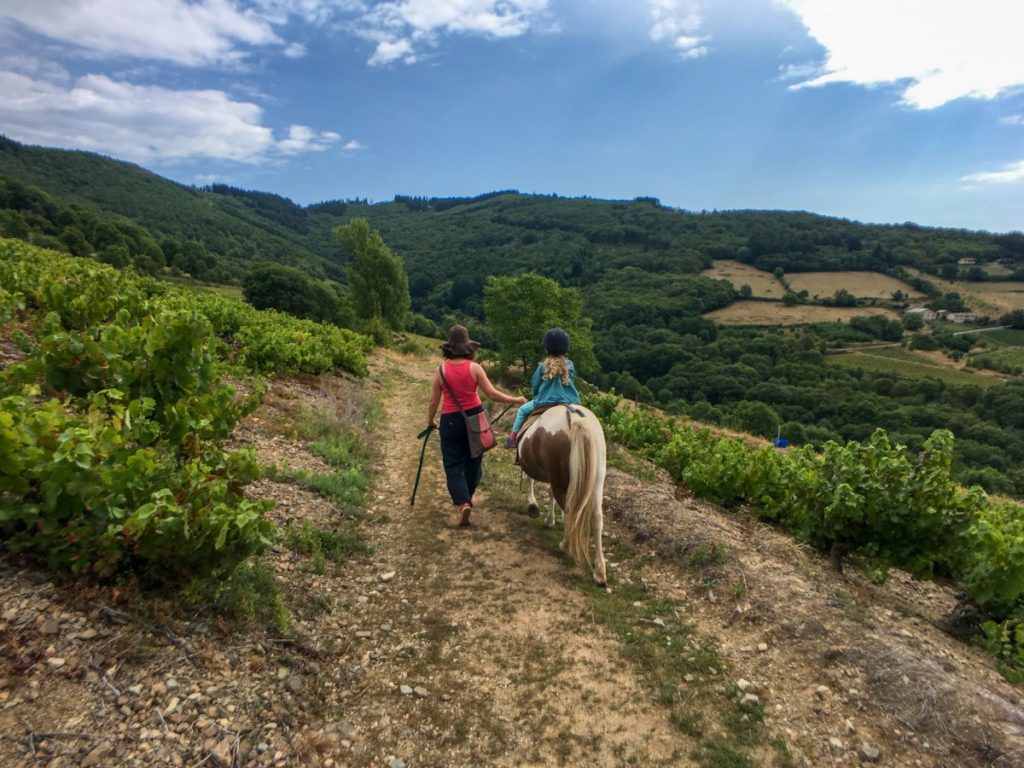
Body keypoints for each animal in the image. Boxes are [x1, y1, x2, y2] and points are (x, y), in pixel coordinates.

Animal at [516, 405, 602, 585]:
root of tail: (575, 419)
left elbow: (531, 480)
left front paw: (535, 507)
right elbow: (551, 494)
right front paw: (554, 519)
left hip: (559, 475)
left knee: (572, 510)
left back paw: (564, 545)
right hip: (597, 479)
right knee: (597, 517)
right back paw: (600, 573)